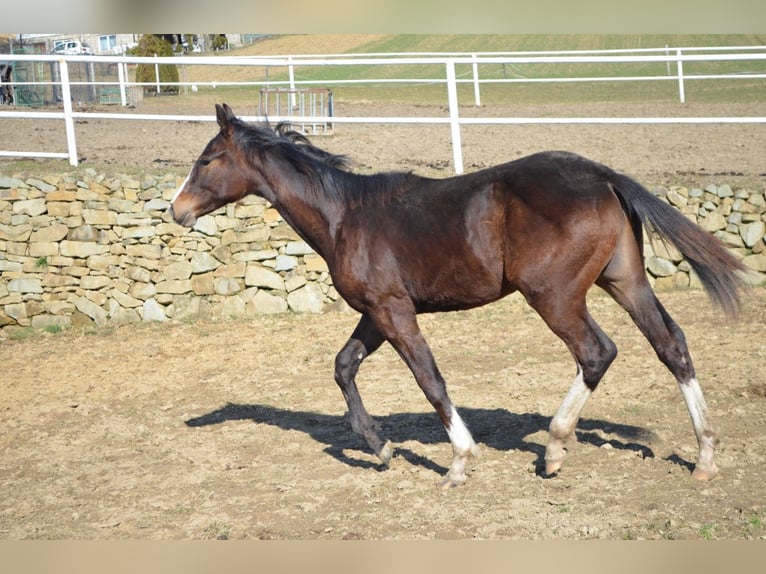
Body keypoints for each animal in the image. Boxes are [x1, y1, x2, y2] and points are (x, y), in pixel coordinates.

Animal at [169, 103, 747, 487]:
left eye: (208, 159)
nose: (176, 211)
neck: (345, 217)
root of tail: (604, 175)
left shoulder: (393, 311)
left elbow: (429, 379)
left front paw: (459, 462)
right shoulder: (377, 313)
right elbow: (343, 366)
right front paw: (380, 447)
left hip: (555, 296)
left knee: (596, 353)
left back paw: (555, 448)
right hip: (625, 281)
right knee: (671, 345)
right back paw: (704, 456)